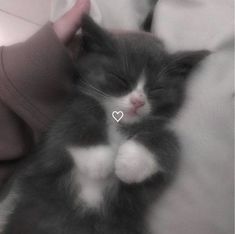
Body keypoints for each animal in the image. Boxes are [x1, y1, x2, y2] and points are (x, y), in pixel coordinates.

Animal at [0, 16, 208, 234]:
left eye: (156, 89)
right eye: (120, 79)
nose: (138, 101)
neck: (118, 122)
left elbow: (170, 141)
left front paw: (132, 162)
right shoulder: (51, 139)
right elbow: (77, 115)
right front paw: (97, 160)